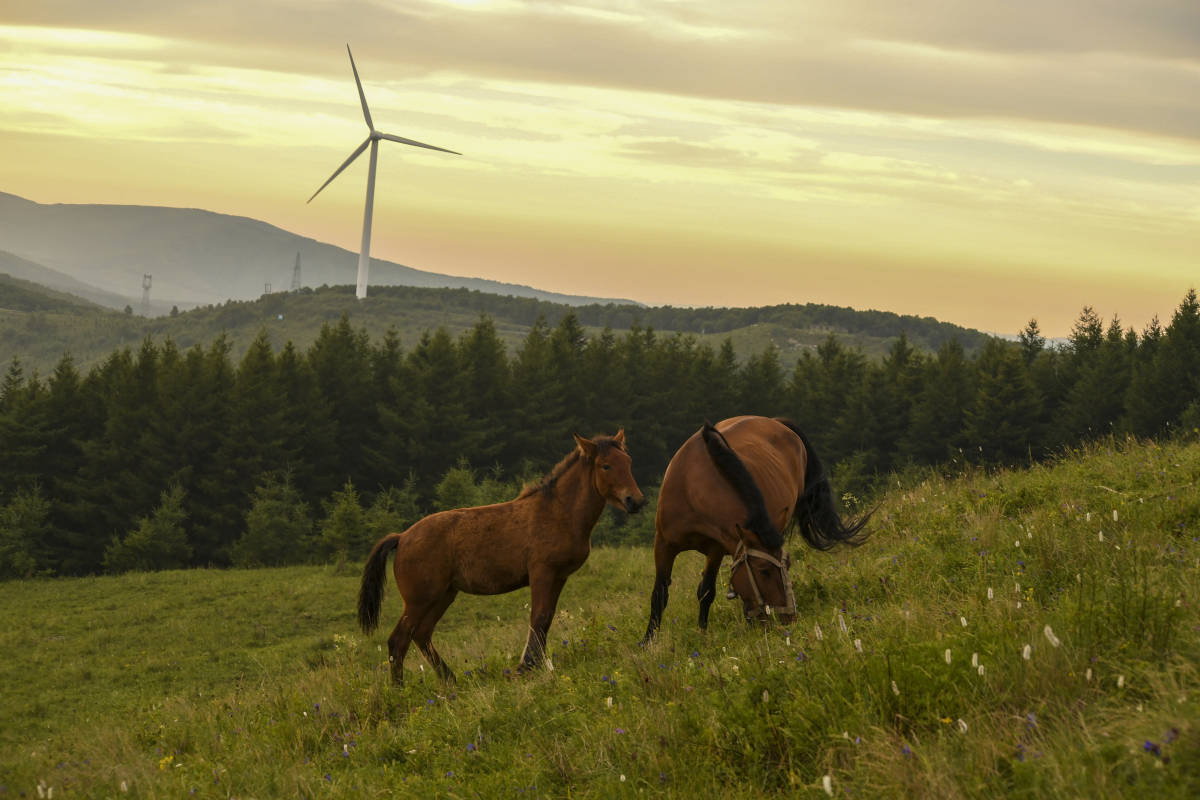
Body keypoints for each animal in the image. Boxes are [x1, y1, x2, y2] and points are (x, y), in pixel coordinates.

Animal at [355, 429, 643, 686]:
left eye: (629, 462)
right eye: (605, 466)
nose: (636, 501)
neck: (558, 512)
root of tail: (402, 537)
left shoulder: (558, 576)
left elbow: (546, 619)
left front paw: (536, 665)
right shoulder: (542, 572)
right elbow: (538, 618)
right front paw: (526, 667)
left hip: (444, 594)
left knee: (422, 635)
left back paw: (450, 680)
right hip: (420, 600)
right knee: (399, 639)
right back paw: (399, 690)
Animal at [643, 417, 868, 642]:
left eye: (788, 565)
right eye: (763, 571)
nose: (788, 619)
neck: (693, 485)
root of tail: (776, 421)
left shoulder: (717, 546)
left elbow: (706, 591)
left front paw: (703, 633)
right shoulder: (663, 543)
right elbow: (659, 594)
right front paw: (649, 642)